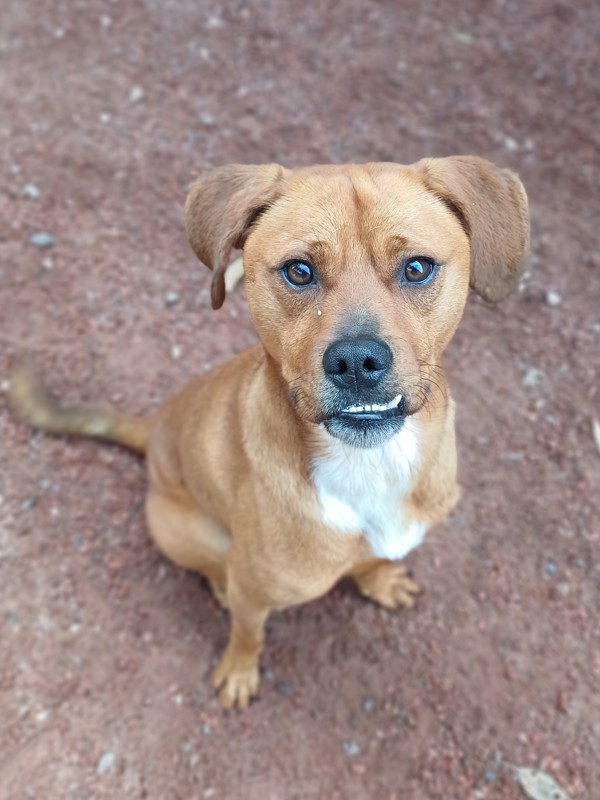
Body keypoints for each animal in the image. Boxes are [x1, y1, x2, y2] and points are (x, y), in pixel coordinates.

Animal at [9, 157, 529, 709]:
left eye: (417, 267)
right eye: (299, 271)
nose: (357, 362)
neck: (369, 465)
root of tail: (153, 434)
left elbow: (367, 560)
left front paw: (379, 577)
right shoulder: (255, 592)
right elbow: (248, 632)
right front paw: (239, 671)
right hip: (186, 532)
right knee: (215, 568)